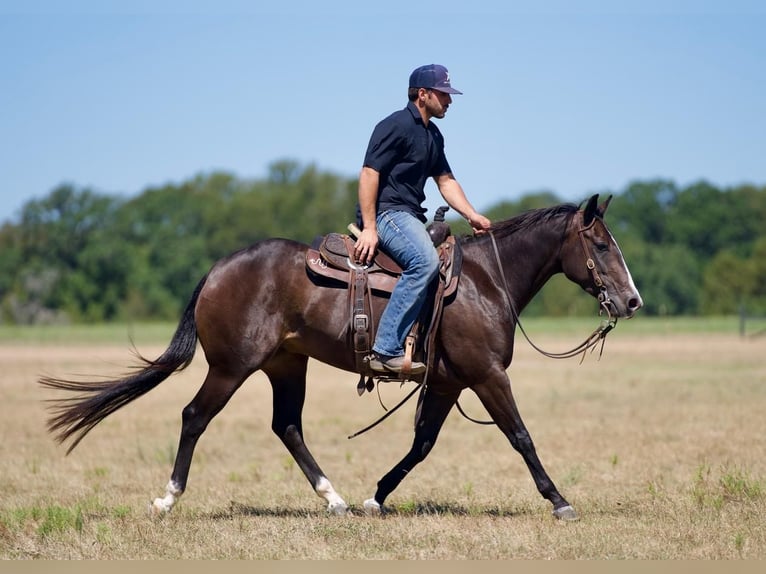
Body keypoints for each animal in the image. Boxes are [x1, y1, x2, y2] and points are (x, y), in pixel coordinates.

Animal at [40, 194, 640, 520]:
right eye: (602, 245)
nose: (632, 300)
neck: (484, 281)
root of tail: (217, 269)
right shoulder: (487, 377)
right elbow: (521, 436)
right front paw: (559, 499)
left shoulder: (448, 384)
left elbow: (422, 445)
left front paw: (377, 496)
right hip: (231, 367)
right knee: (194, 417)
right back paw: (168, 499)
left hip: (287, 365)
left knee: (287, 426)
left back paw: (335, 499)